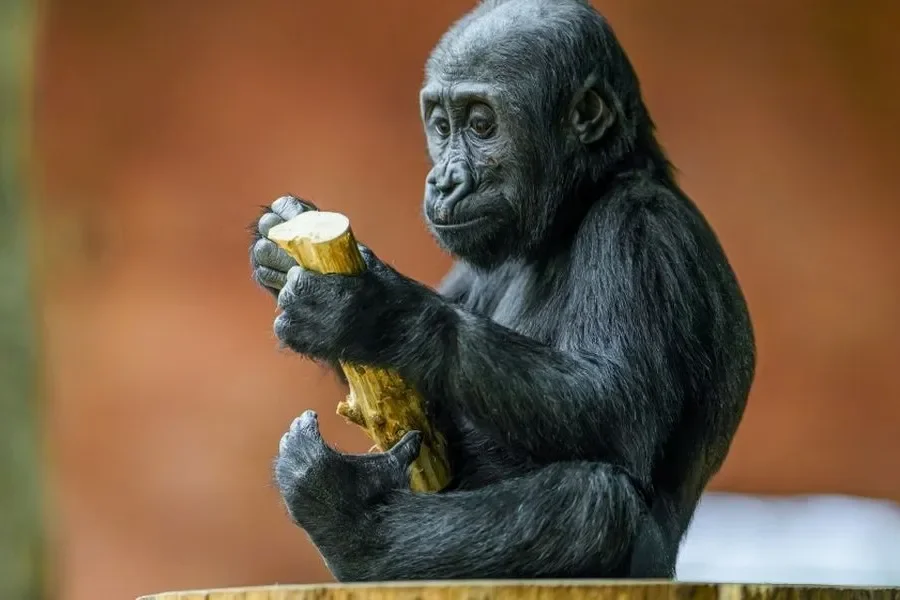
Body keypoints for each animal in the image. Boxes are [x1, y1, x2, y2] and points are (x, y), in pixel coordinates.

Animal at [249, 0, 755, 582]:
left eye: (481, 124)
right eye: (441, 125)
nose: (443, 181)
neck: (577, 205)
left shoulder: (641, 231)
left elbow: (617, 402)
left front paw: (369, 311)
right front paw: (282, 247)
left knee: (592, 506)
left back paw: (351, 517)